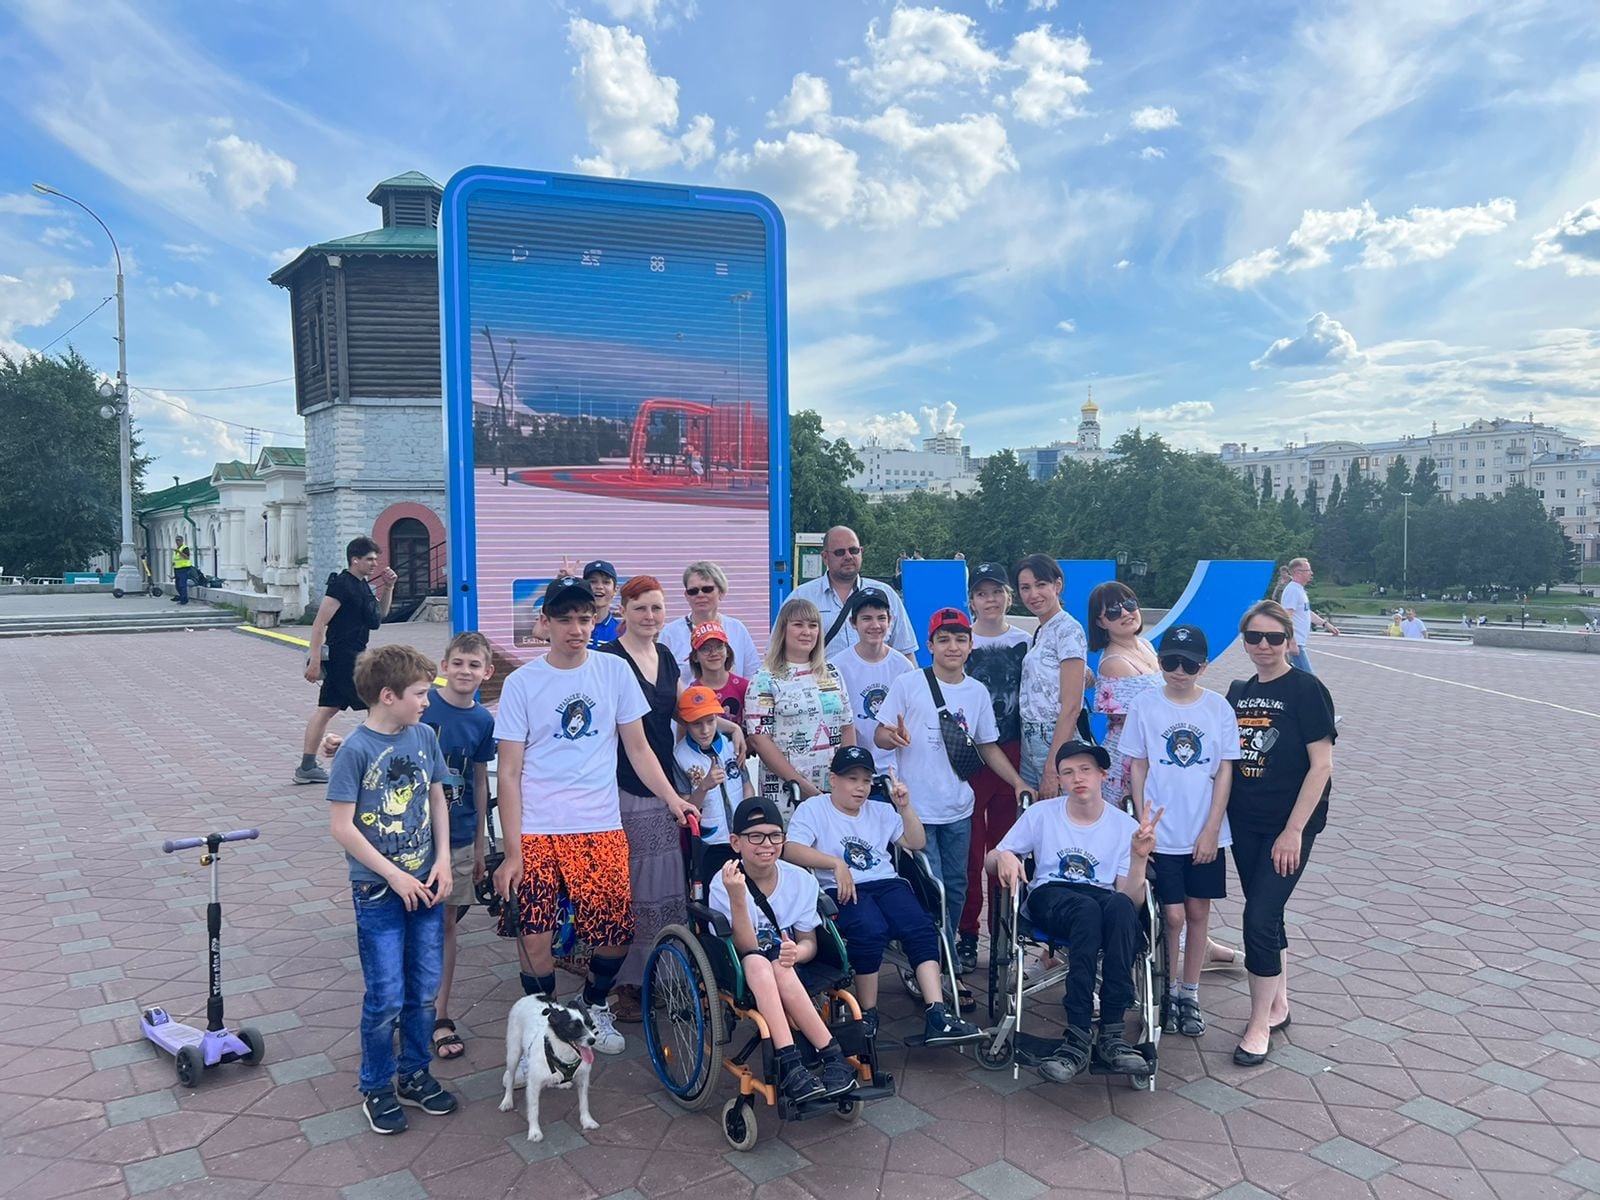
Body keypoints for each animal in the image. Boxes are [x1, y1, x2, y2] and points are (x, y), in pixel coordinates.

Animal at [499, 996, 601, 1142]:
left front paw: (587, 1121)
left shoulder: (583, 1079)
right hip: (513, 1053)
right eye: (572, 1027)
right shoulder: (533, 1085)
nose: (593, 1040)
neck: (564, 1054)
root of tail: (532, 996)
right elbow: (534, 1109)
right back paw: (507, 1101)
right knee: (510, 1077)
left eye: (591, 1024)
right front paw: (534, 1132)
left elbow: (584, 1103)